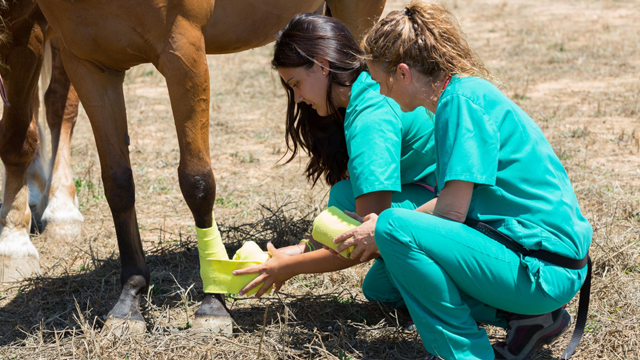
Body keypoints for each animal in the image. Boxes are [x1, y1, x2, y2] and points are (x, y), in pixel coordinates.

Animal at [2, 0, 384, 332]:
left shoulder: (183, 53)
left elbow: (197, 181)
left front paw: (213, 301)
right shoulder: (88, 64)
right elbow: (118, 183)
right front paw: (130, 300)